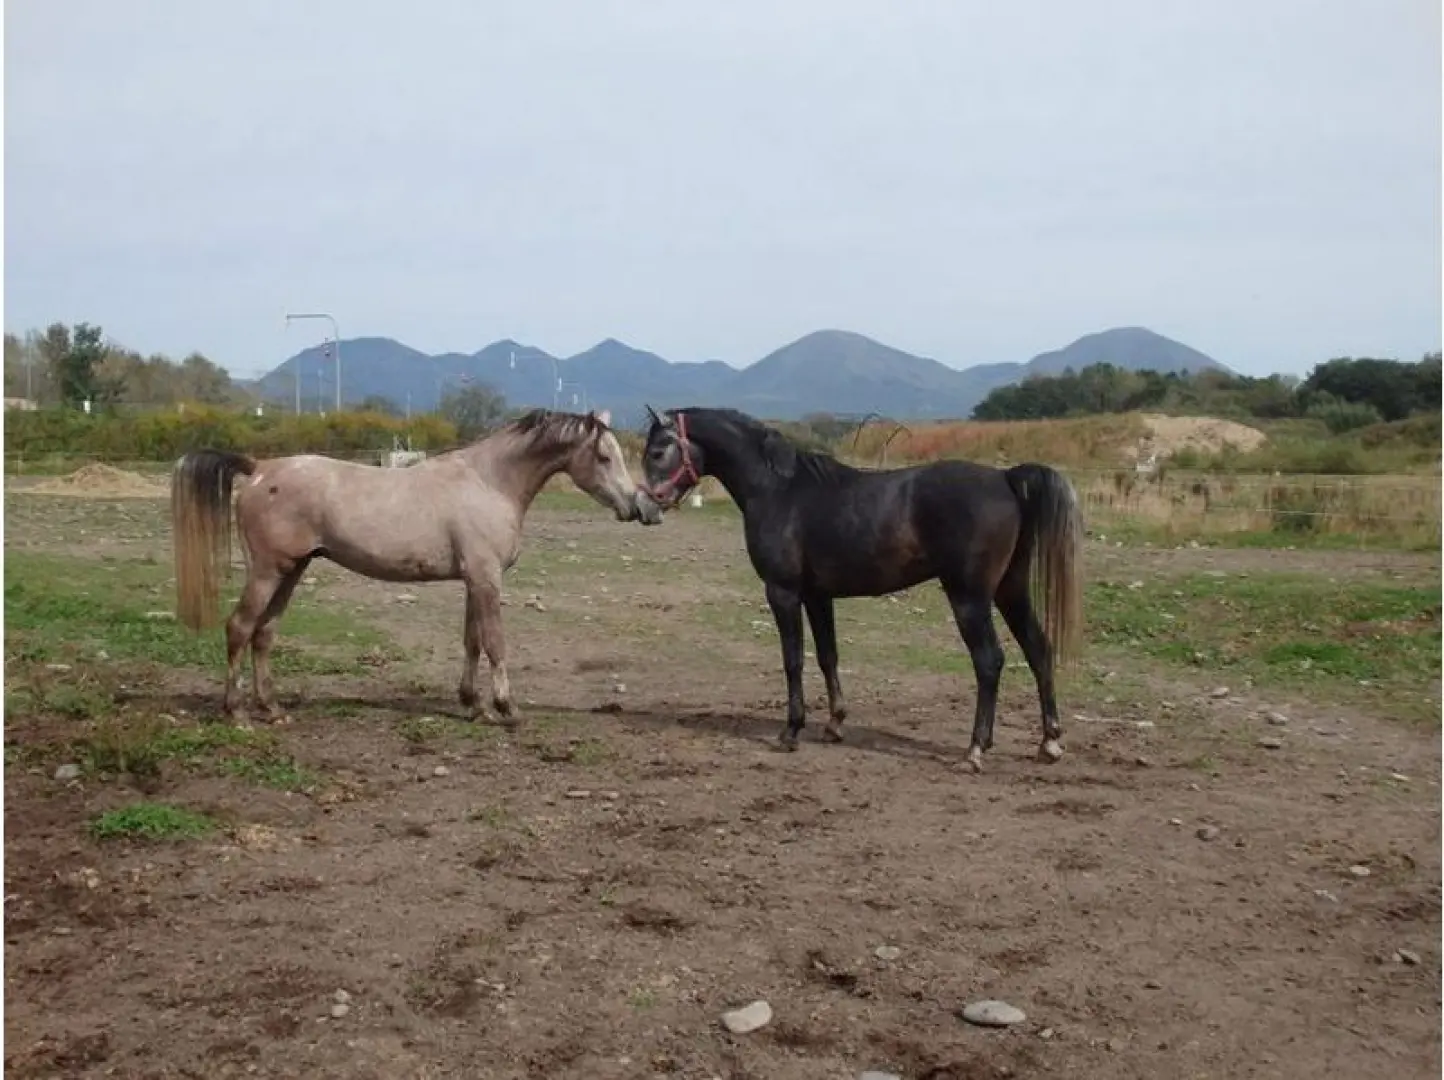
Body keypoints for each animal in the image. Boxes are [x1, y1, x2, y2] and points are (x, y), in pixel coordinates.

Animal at [170, 409, 662, 724]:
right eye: (604, 457)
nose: (637, 507)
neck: (489, 481)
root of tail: (259, 469)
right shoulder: (486, 577)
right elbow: (495, 642)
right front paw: (507, 708)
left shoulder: (473, 579)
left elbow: (471, 641)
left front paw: (473, 704)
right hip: (268, 571)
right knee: (239, 628)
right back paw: (236, 712)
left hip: (292, 571)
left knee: (264, 634)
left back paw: (271, 709)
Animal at [639, 406, 1083, 771]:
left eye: (658, 452)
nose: (644, 508)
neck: (780, 490)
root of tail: (1005, 478)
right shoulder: (817, 596)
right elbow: (827, 657)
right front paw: (834, 724)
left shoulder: (782, 592)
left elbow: (793, 660)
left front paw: (790, 731)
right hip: (1010, 590)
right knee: (1039, 650)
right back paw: (1049, 743)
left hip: (969, 598)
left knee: (989, 662)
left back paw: (974, 750)